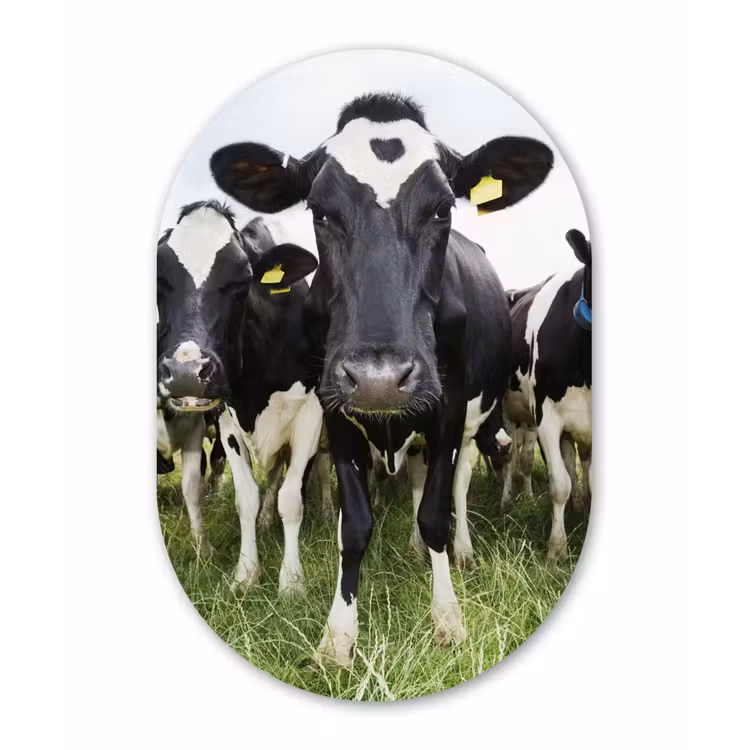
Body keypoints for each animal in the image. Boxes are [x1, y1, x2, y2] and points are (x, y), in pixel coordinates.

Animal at [157, 200, 328, 594]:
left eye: (241, 280)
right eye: (160, 280)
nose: (187, 373)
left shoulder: (311, 415)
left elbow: (292, 499)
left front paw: (291, 581)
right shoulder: (227, 420)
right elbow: (246, 497)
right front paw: (246, 573)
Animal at [210, 92, 554, 666]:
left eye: (442, 209)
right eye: (320, 211)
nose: (379, 379)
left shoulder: (448, 410)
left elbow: (435, 513)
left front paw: (448, 618)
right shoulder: (334, 411)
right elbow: (354, 526)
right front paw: (338, 636)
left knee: (456, 486)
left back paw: (458, 552)